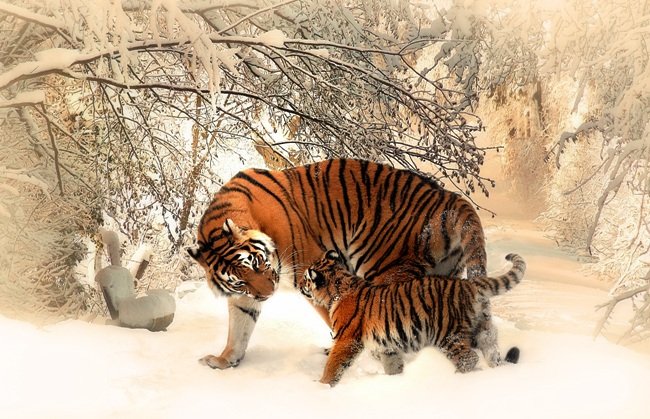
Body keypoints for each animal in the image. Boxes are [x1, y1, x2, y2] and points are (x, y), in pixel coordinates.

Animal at [187, 159, 493, 370]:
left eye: (258, 263)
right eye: (240, 280)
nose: (267, 294)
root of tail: (449, 197)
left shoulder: (311, 270)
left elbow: (337, 317)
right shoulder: (243, 296)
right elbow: (239, 328)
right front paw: (224, 360)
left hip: (384, 268)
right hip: (443, 275)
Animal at [299, 250, 526, 386]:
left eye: (305, 279)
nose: (300, 285)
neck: (338, 287)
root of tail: (469, 284)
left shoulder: (346, 340)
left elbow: (333, 365)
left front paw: (321, 386)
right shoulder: (387, 346)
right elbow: (393, 364)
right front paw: (396, 380)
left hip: (448, 335)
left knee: (468, 358)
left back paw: (455, 379)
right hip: (483, 330)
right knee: (492, 351)